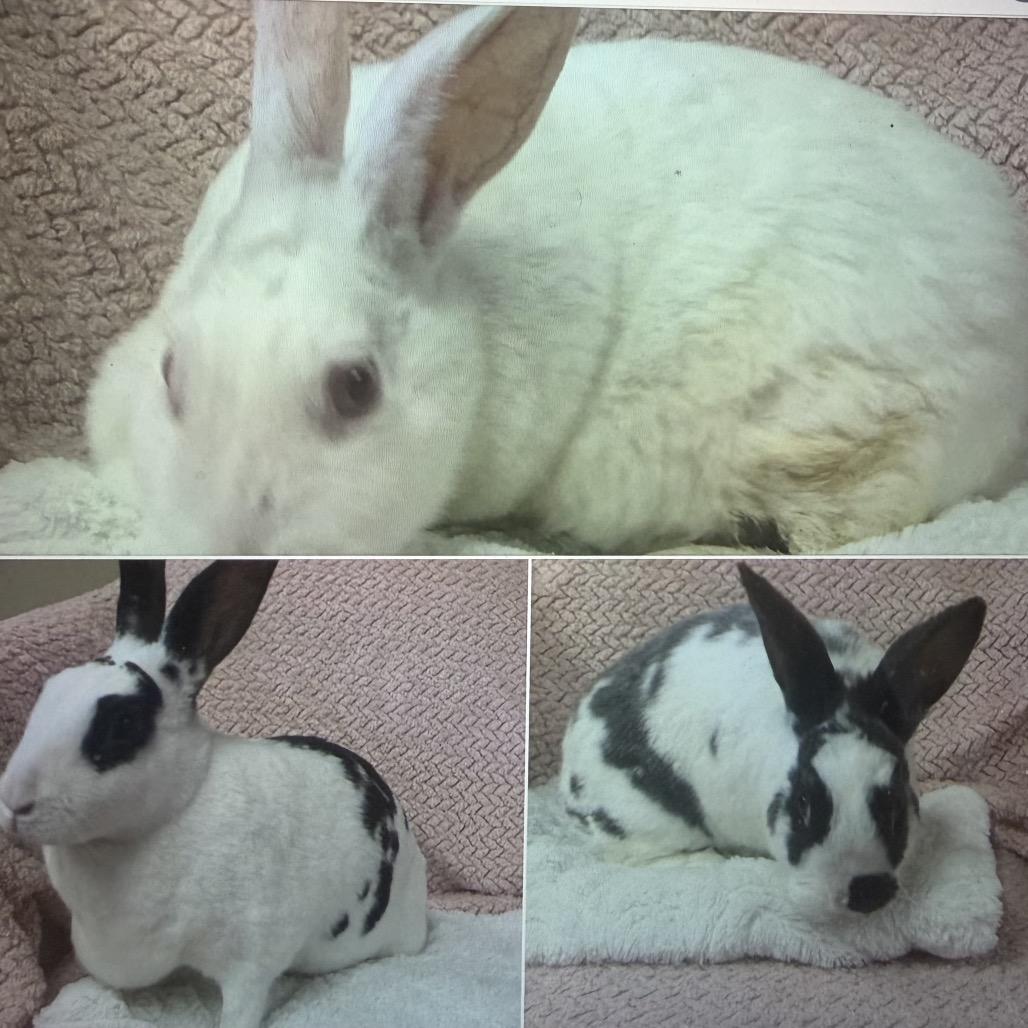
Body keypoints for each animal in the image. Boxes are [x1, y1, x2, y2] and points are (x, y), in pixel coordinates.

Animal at [0, 560, 429, 1028]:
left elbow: (241, 1008)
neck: (178, 808)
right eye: (48, 689)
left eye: (123, 725)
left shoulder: (250, 962)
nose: (13, 803)